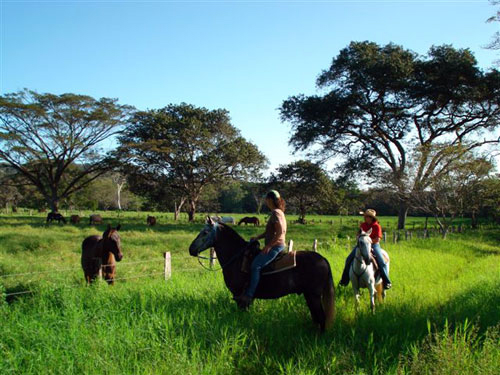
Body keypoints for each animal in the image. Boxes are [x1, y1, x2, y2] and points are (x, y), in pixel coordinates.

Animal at [188, 217, 336, 332]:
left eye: (205, 232)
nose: (191, 249)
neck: (237, 257)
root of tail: (322, 259)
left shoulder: (240, 296)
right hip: (309, 295)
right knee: (316, 318)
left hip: (313, 295)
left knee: (321, 317)